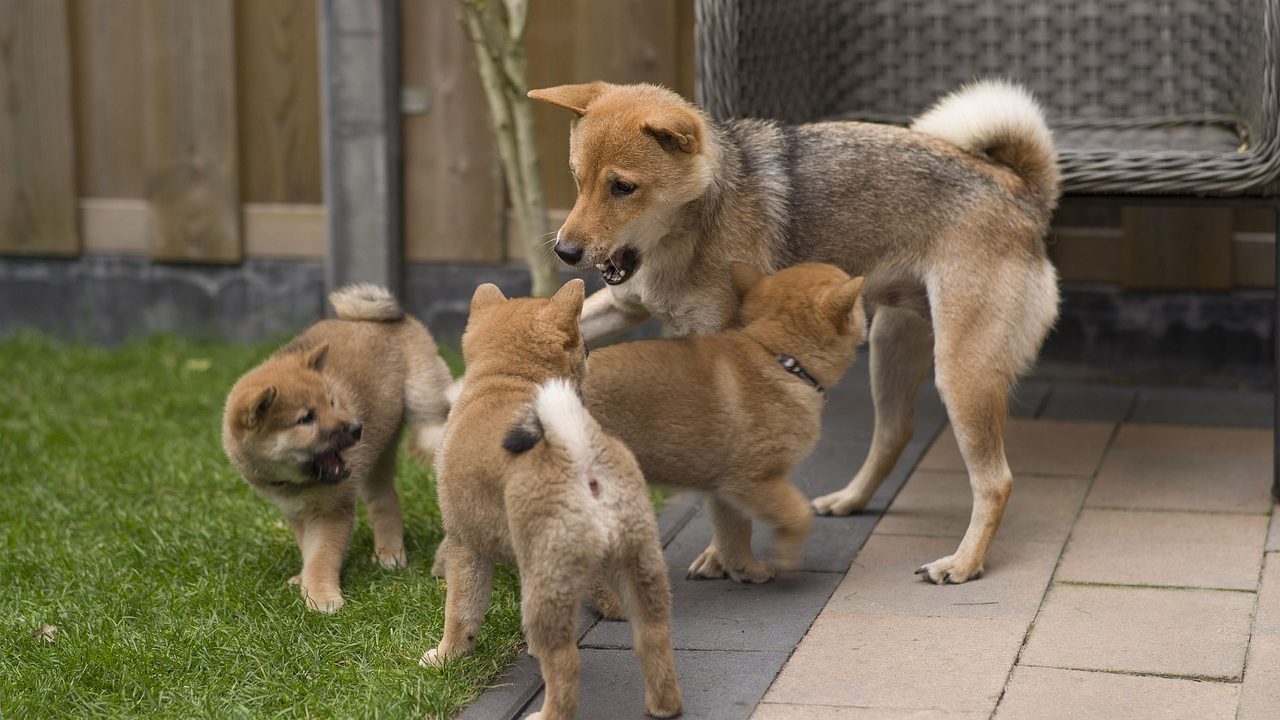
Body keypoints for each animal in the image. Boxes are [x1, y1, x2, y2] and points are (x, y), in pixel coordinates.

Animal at [222, 283, 453, 607]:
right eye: (306, 418)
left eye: (333, 403)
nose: (357, 428)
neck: (293, 484)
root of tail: (397, 317)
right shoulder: (297, 513)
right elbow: (307, 548)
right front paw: (303, 579)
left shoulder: (330, 511)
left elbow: (321, 556)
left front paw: (320, 595)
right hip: (378, 452)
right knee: (385, 500)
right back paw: (390, 554)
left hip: (425, 418)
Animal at [422, 280, 686, 717]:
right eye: (585, 346)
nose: (591, 354)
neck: (507, 378)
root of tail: (577, 450)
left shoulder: (465, 545)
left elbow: (461, 612)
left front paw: (446, 656)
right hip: (640, 563)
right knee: (654, 638)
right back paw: (663, 705)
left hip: (546, 585)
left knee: (565, 663)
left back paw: (546, 713)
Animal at [586, 263, 870, 584]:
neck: (779, 357)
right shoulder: (752, 480)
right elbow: (798, 512)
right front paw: (785, 554)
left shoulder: (724, 484)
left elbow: (732, 529)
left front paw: (743, 567)